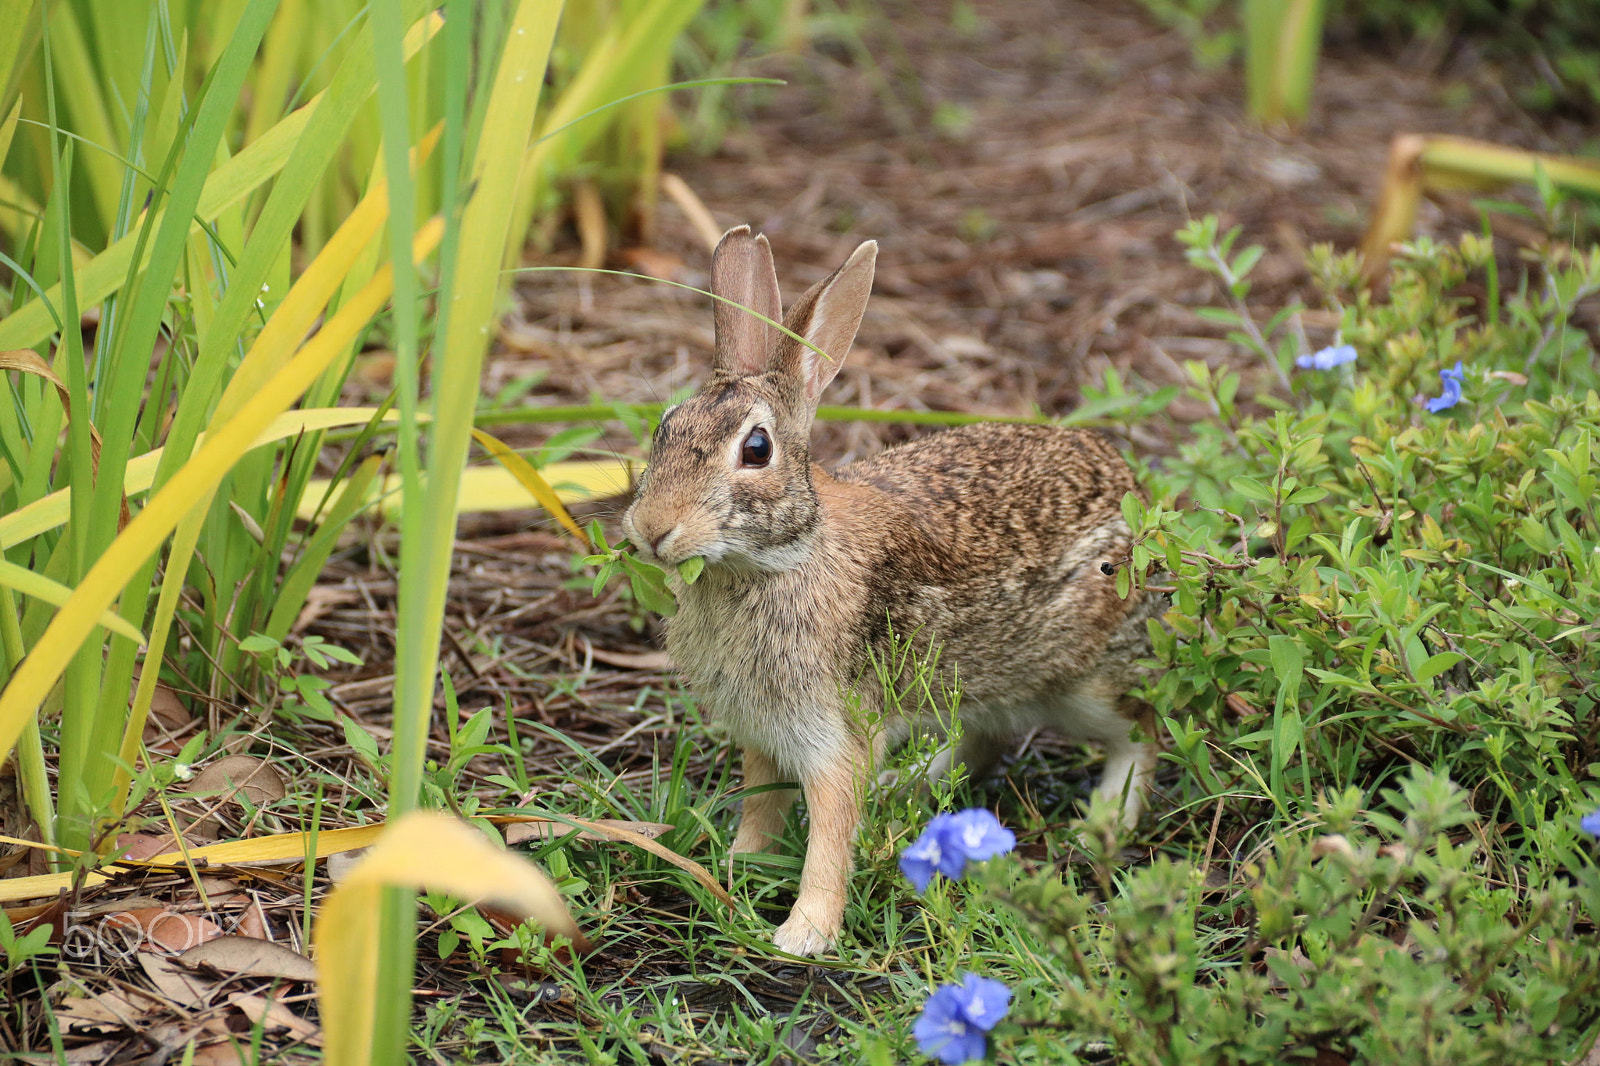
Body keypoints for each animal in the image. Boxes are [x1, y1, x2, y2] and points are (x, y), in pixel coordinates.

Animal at [621, 225, 1162, 957]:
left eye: (756, 449)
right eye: (666, 427)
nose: (652, 529)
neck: (779, 560)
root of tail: (1137, 502)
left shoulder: (834, 734)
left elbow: (830, 834)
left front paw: (801, 935)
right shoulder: (765, 733)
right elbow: (762, 803)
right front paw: (738, 864)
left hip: (1083, 683)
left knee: (1142, 731)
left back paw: (1102, 821)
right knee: (984, 742)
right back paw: (907, 784)